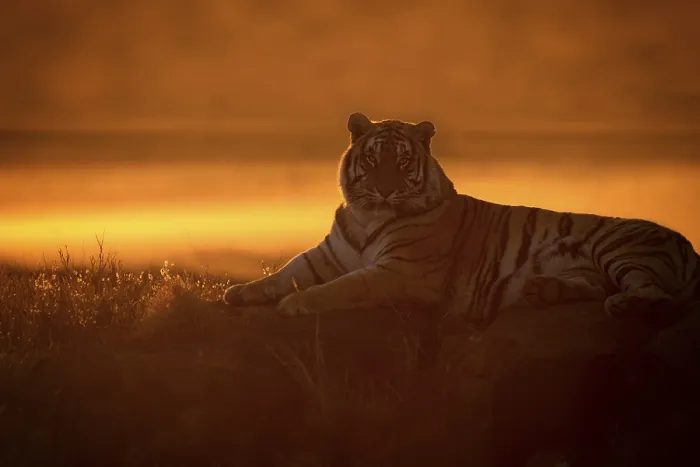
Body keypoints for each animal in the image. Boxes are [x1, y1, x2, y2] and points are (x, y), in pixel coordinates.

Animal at [223, 112, 700, 328]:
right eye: (373, 159)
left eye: (401, 161)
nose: (385, 190)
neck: (366, 216)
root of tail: (688, 245)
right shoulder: (326, 255)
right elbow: (286, 271)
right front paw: (241, 292)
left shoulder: (401, 271)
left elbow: (346, 286)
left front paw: (297, 304)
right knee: (595, 285)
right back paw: (539, 291)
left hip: (619, 246)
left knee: (655, 294)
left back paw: (622, 304)